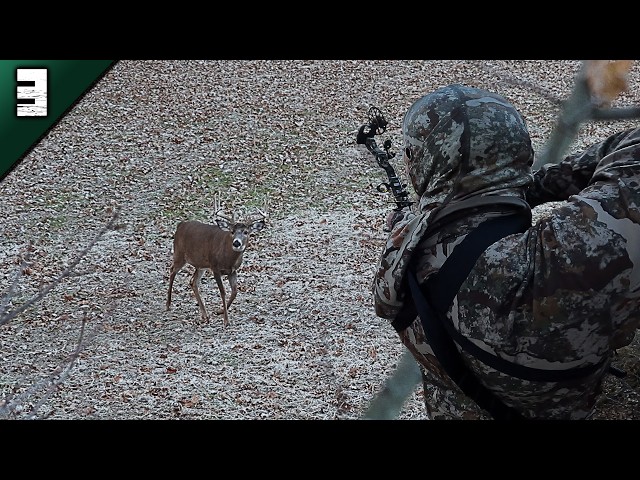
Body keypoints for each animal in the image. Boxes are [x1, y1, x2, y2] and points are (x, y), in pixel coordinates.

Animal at [165, 197, 267, 327]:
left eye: (246, 232)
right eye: (232, 231)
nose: (236, 243)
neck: (228, 259)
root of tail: (180, 225)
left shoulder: (232, 271)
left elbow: (235, 291)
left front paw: (220, 311)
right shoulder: (215, 267)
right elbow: (223, 292)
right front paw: (226, 320)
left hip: (200, 265)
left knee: (193, 282)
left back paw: (205, 315)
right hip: (179, 254)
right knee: (172, 270)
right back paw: (168, 305)